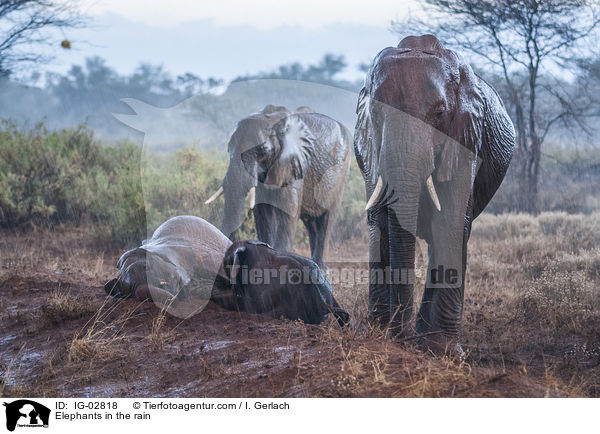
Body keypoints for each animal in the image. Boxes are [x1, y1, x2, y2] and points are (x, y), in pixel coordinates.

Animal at [205, 104, 352, 268]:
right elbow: (262, 211)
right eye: (229, 149)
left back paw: (321, 268)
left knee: (326, 218)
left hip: (341, 174)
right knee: (311, 223)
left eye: (262, 151)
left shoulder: (294, 165)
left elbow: (287, 210)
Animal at [356, 34, 516, 352]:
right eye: (376, 113)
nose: (400, 337)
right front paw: (380, 335)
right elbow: (380, 221)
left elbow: (450, 220)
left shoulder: (467, 135)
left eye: (440, 114)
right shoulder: (370, 145)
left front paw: (442, 350)